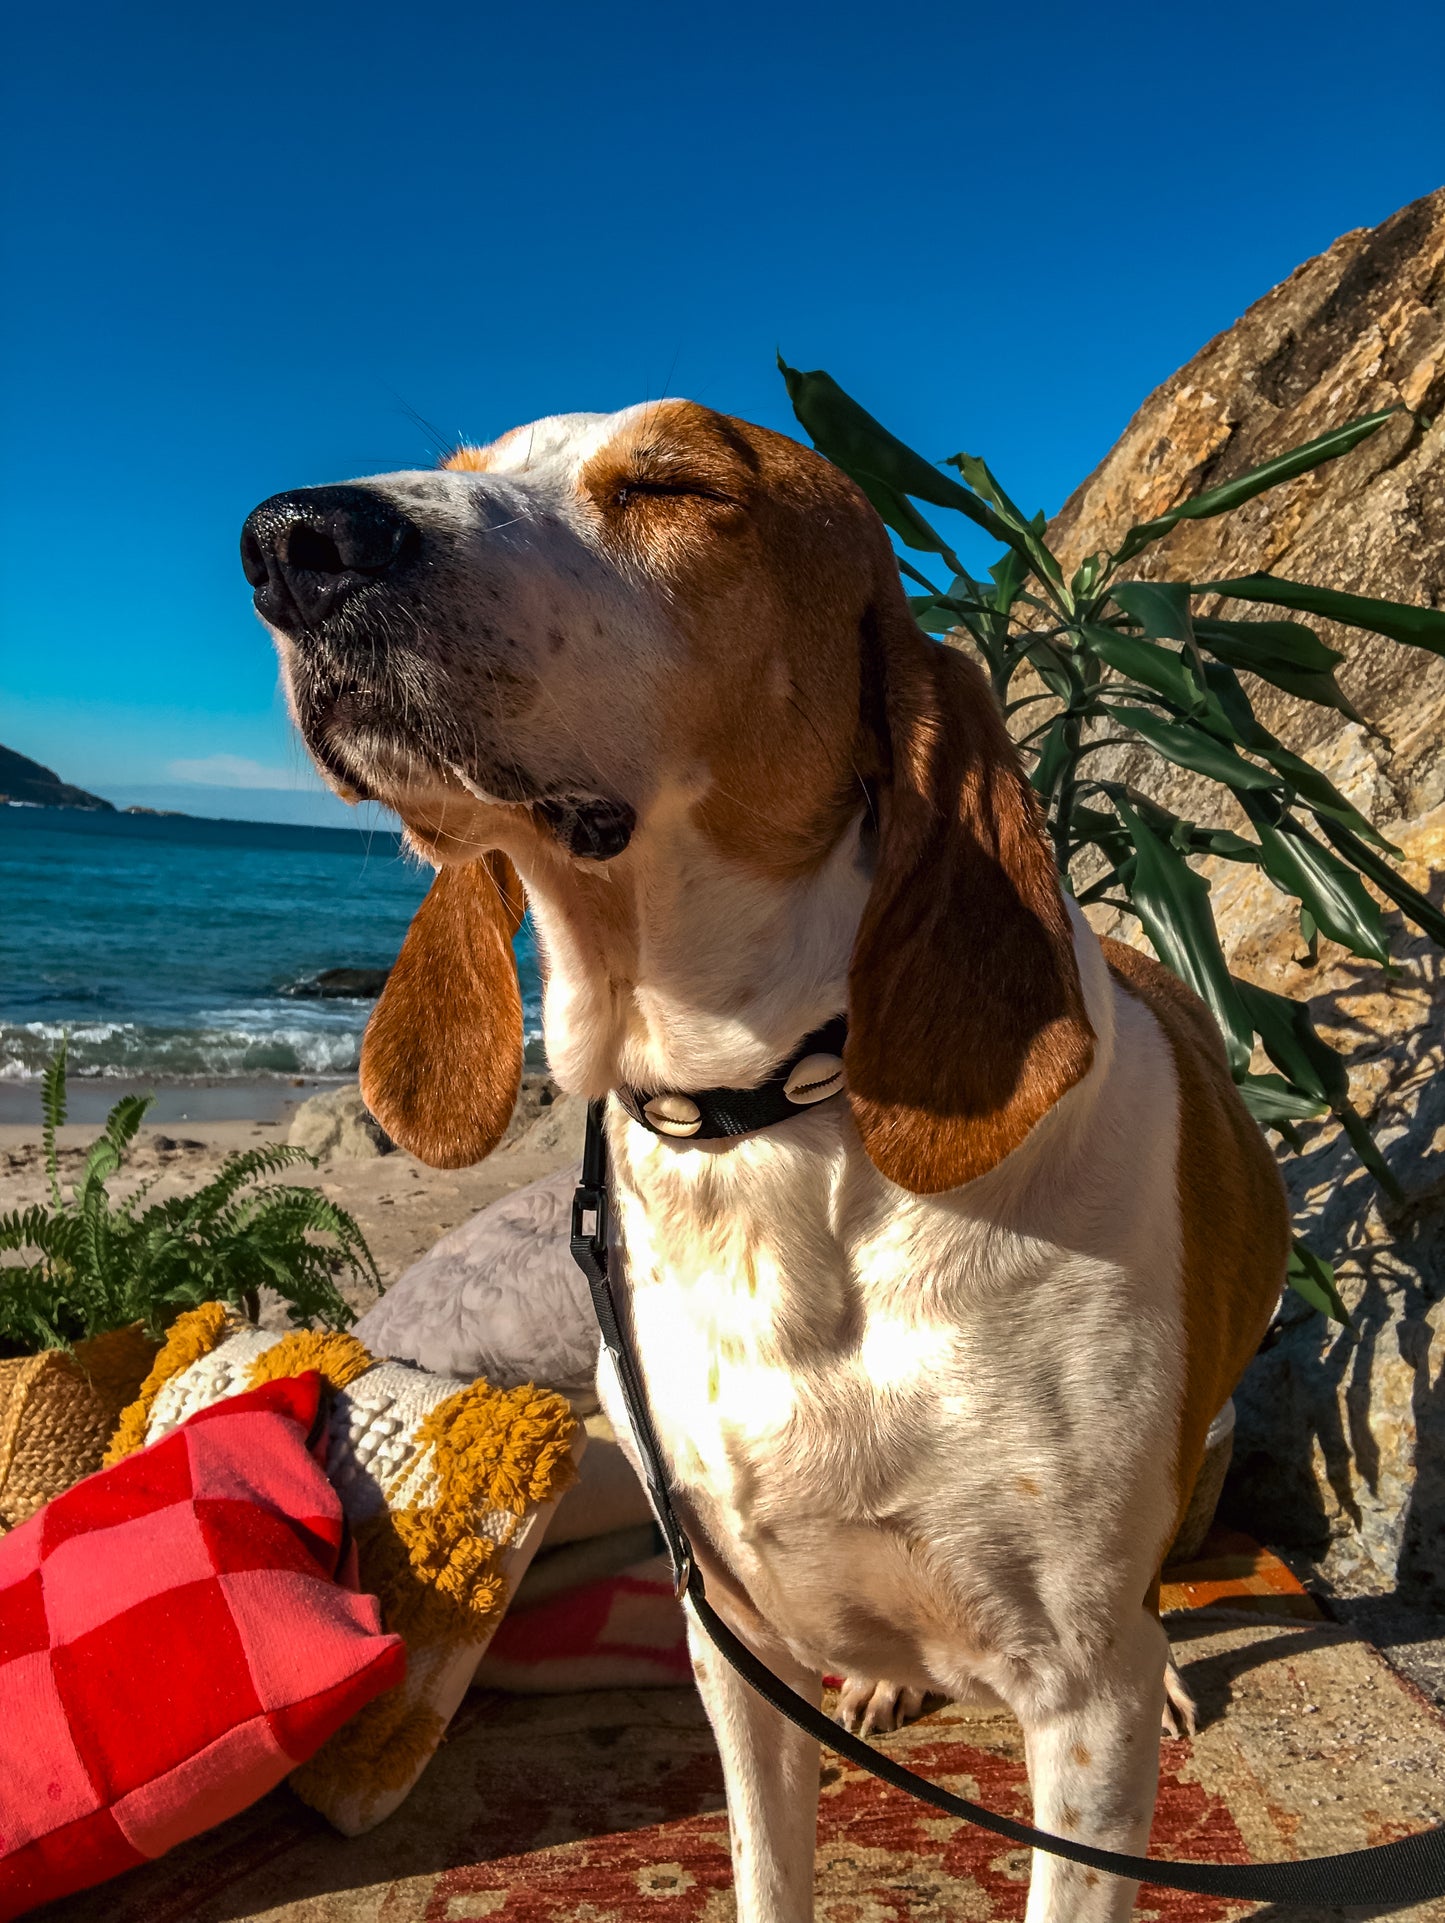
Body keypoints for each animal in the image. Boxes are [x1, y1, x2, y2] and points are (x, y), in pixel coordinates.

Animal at [243, 398, 1292, 1915]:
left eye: (680, 486)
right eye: (468, 467)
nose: (294, 539)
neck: (766, 1115)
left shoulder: (1079, 1704)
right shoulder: (729, 1638)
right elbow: (761, 1864)